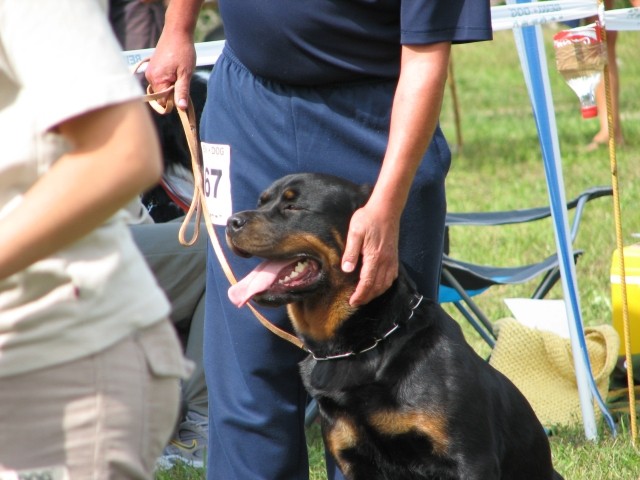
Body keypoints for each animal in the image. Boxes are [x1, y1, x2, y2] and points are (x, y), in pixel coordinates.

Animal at [226, 173, 564, 480]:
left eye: (293, 206)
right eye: (262, 202)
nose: (231, 222)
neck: (359, 345)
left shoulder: (470, 460)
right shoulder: (356, 461)